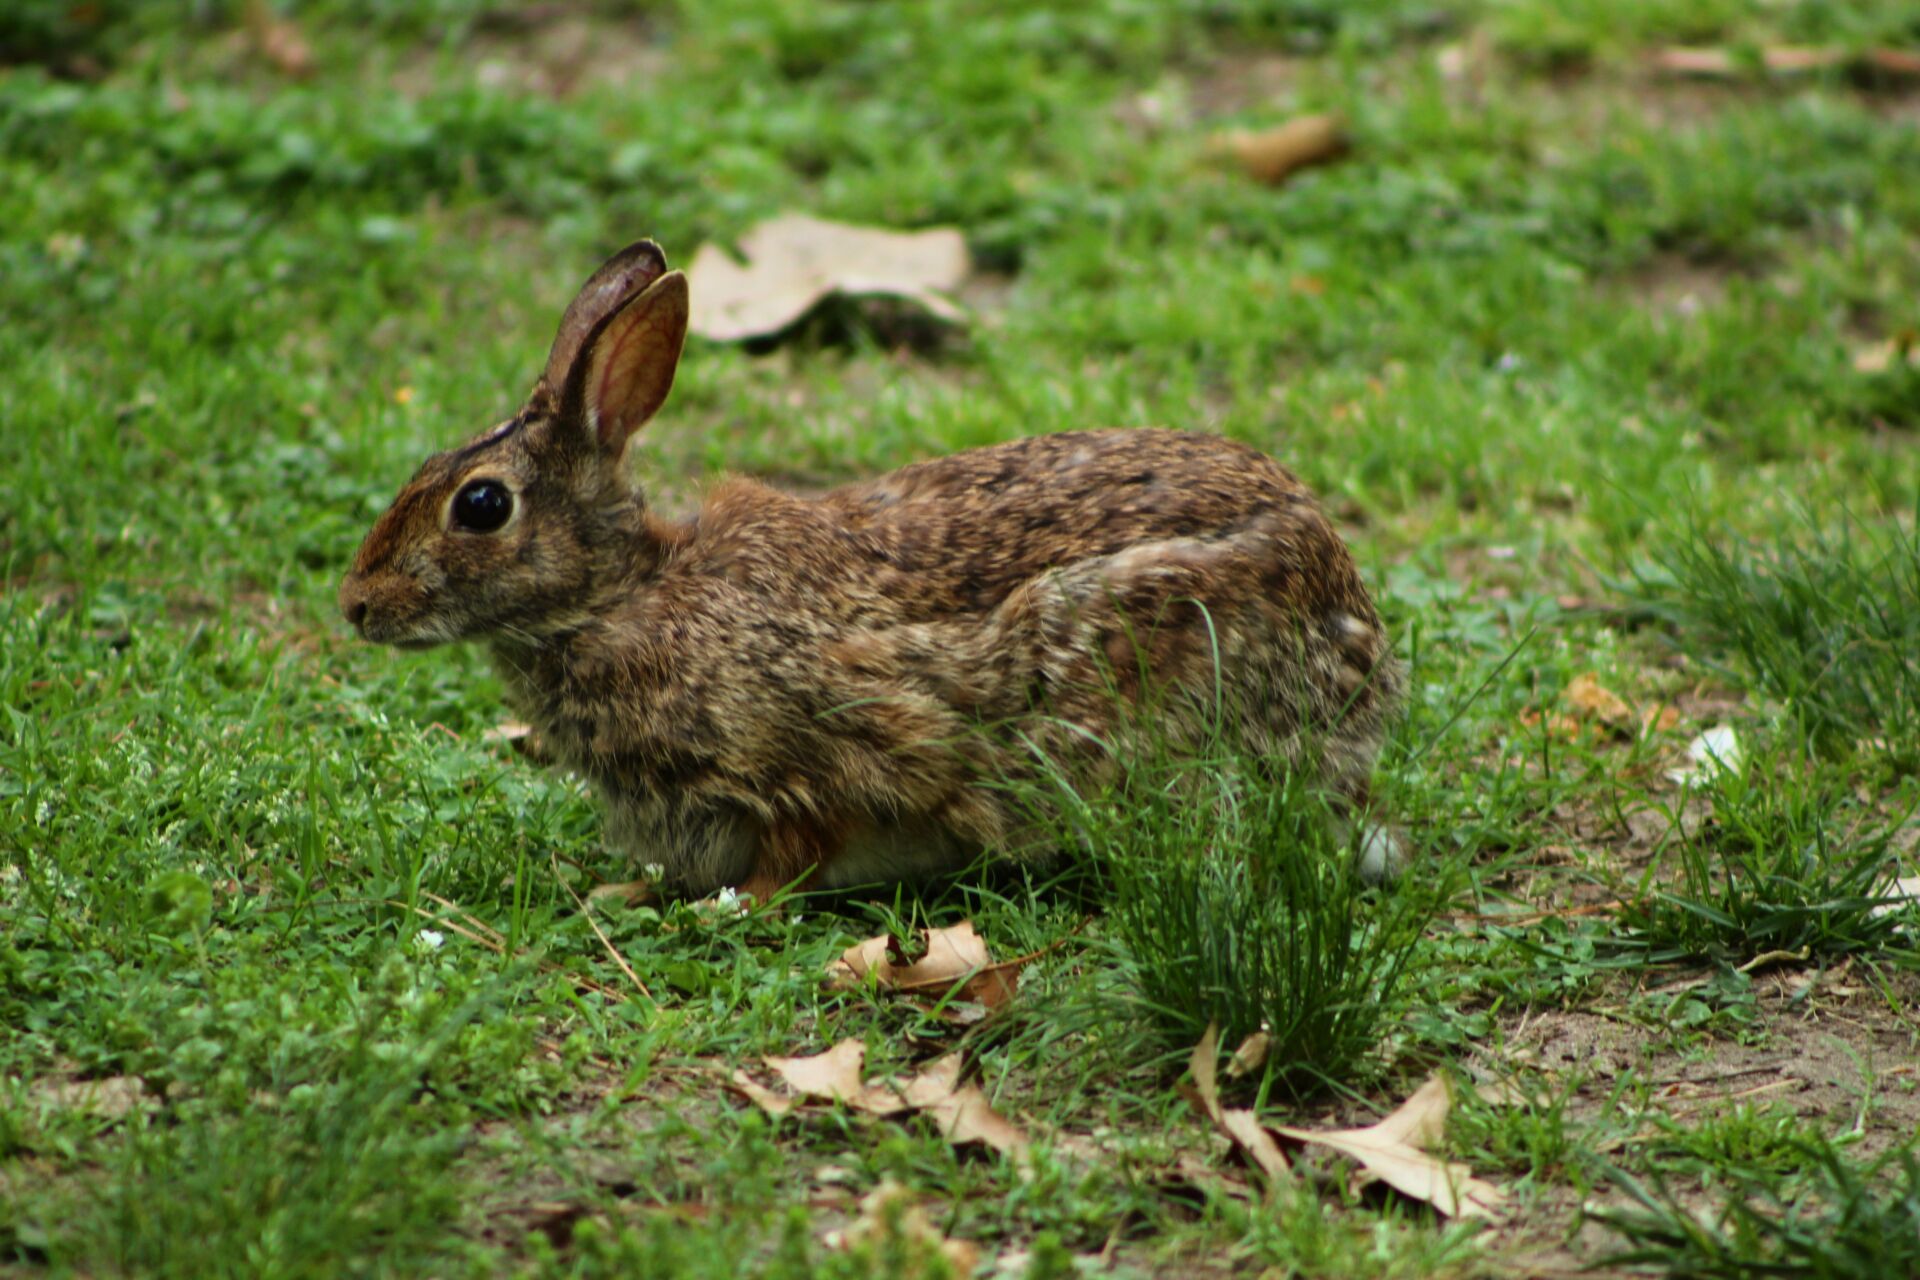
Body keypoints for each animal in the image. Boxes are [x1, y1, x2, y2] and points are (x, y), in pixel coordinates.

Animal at [339, 240, 1405, 902]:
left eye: (481, 506)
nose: (356, 606)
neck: (621, 599)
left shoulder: (808, 762)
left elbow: (800, 853)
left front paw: (725, 906)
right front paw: (623, 888)